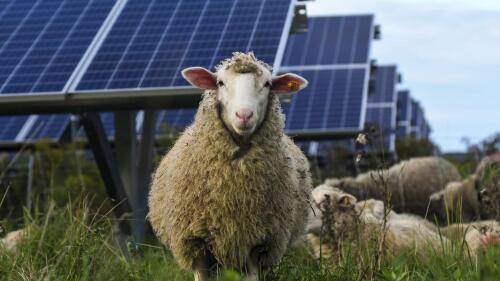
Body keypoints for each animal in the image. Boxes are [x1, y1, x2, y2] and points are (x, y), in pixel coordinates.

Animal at [148, 52, 312, 278]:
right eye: (220, 82)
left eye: (267, 84)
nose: (244, 115)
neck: (232, 189)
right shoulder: (197, 244)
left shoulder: (257, 243)